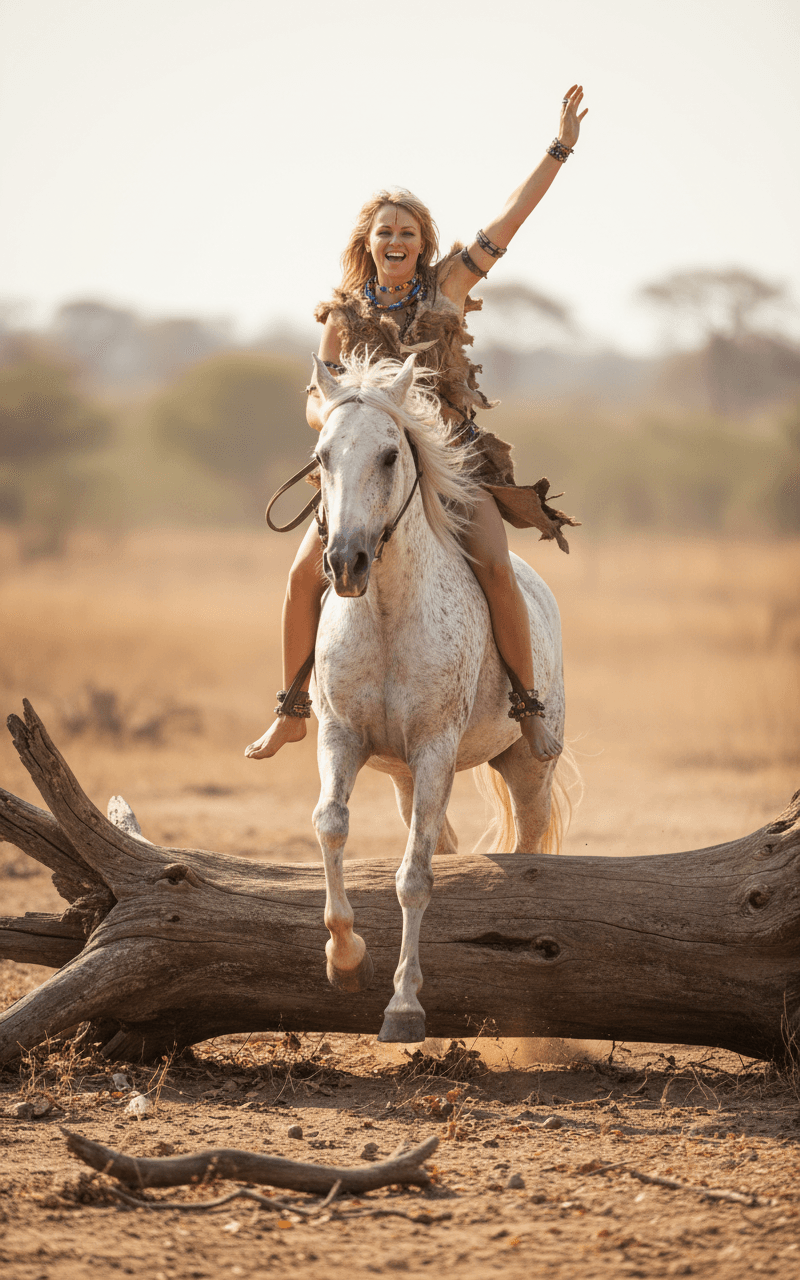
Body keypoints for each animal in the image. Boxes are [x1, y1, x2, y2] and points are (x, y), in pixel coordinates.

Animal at [309, 352, 567, 1043]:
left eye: (389, 454)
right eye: (321, 455)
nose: (346, 562)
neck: (387, 615)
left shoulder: (434, 750)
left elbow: (413, 878)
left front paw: (404, 1007)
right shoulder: (341, 738)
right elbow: (331, 825)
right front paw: (346, 960)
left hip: (526, 768)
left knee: (528, 849)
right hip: (403, 777)